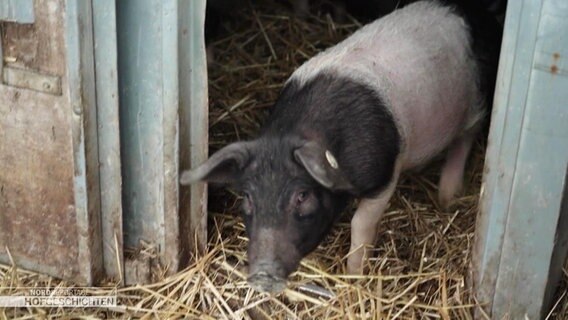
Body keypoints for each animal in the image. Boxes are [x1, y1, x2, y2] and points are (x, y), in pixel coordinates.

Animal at [180, 1, 500, 294]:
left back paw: (447, 197)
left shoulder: (384, 174)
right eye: (247, 196)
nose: (262, 272)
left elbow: (361, 223)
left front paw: (354, 276)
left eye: (302, 196)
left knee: (466, 137)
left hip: (475, 102)